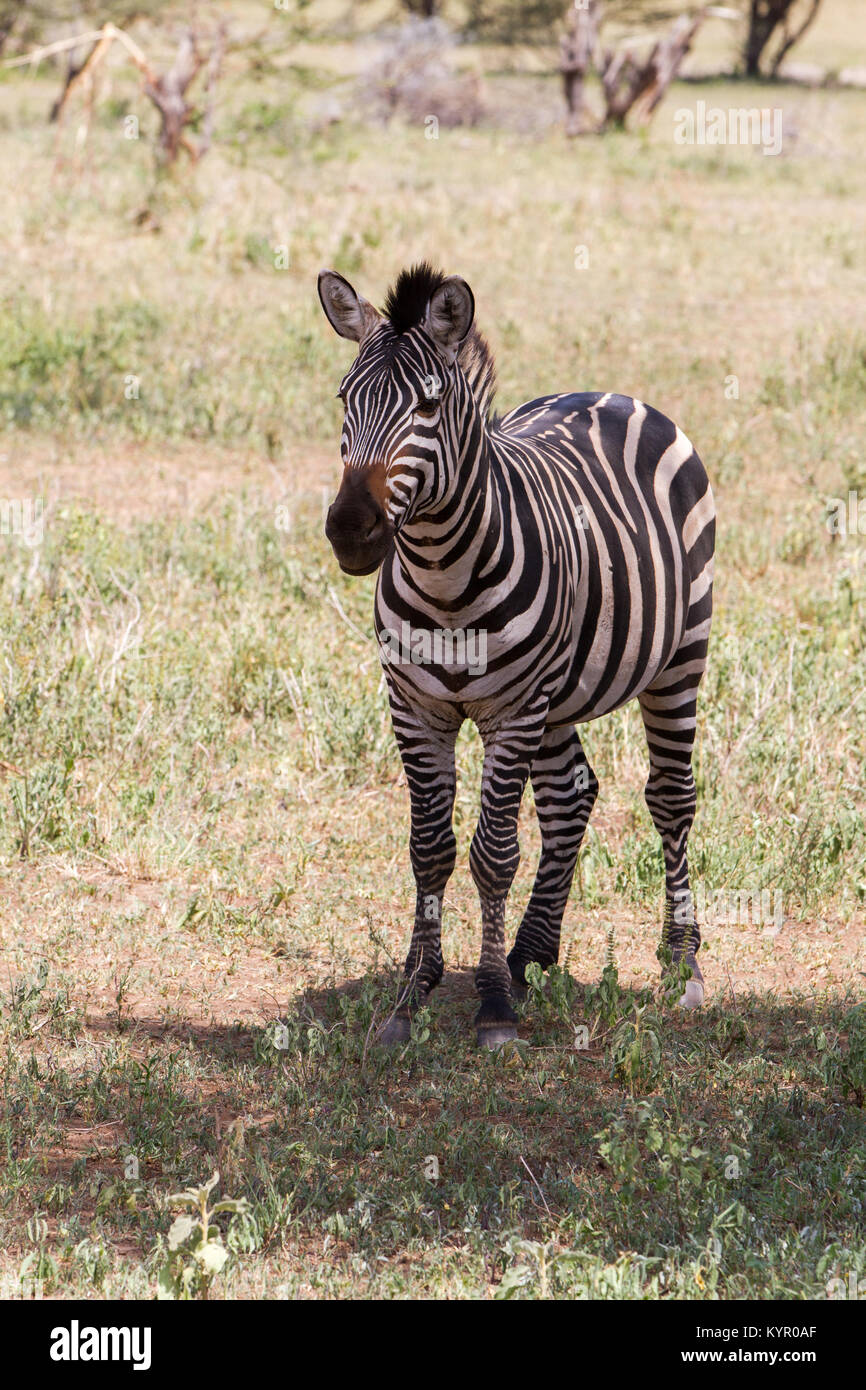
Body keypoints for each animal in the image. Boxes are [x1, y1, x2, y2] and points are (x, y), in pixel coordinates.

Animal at [315, 261, 717, 1045]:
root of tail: (610, 393)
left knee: (670, 796)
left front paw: (494, 1005)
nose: (351, 529)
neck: (443, 576)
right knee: (571, 797)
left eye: (429, 405)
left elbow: (493, 854)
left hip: (679, 654)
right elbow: (430, 850)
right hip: (556, 696)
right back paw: (533, 951)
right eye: (346, 399)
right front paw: (412, 993)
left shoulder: (512, 711)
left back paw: (680, 961)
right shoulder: (416, 709)